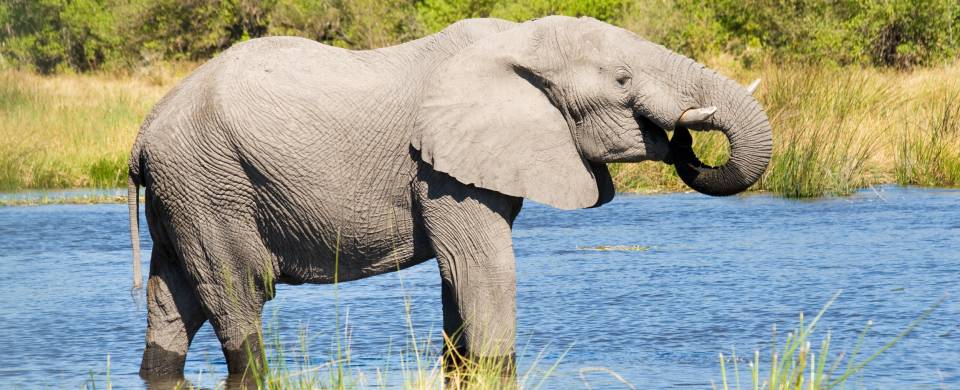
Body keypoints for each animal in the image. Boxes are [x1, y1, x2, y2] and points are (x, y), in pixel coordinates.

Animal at [125, 16, 772, 380]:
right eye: (621, 81)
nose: (682, 134)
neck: (515, 40)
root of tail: (141, 134)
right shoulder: (440, 169)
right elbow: (483, 267)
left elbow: (457, 276)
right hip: (210, 182)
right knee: (237, 292)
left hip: (184, 193)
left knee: (173, 298)